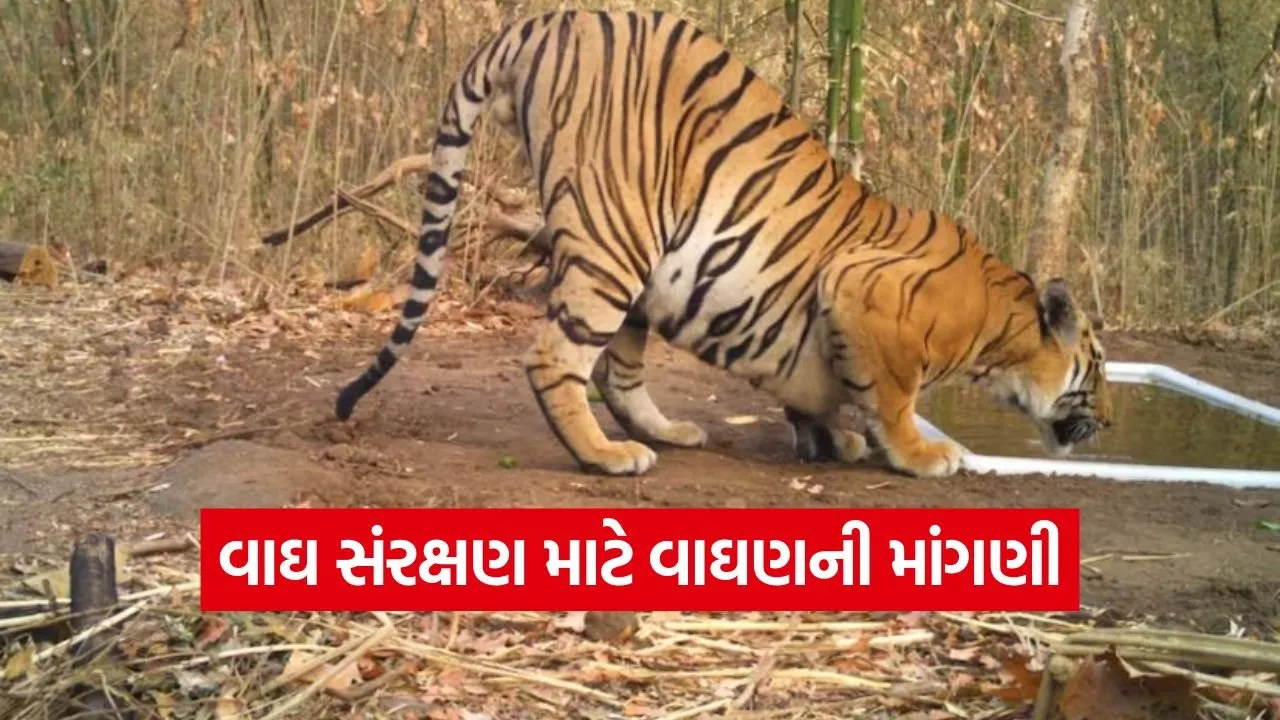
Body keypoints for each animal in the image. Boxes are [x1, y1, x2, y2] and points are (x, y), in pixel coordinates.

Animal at [328, 9, 1114, 478]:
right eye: (1099, 369)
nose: (1107, 421)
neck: (999, 327)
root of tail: (549, 18)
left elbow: (824, 391)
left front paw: (831, 438)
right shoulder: (865, 292)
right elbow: (891, 396)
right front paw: (924, 453)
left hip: (642, 266)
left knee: (618, 369)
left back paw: (668, 434)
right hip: (616, 236)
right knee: (556, 357)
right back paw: (607, 455)